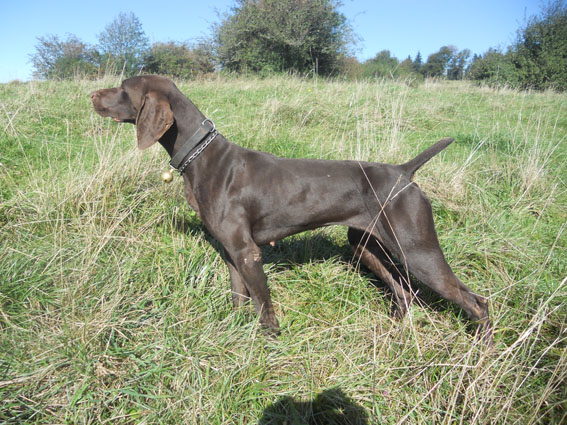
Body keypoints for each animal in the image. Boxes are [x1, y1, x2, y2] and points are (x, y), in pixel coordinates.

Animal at [91, 75, 490, 342]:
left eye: (124, 89)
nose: (91, 93)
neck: (200, 156)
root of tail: (404, 172)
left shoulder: (248, 253)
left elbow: (264, 307)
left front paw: (270, 342)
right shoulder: (230, 252)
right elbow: (238, 298)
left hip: (418, 252)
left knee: (476, 301)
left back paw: (481, 348)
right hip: (367, 246)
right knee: (404, 294)